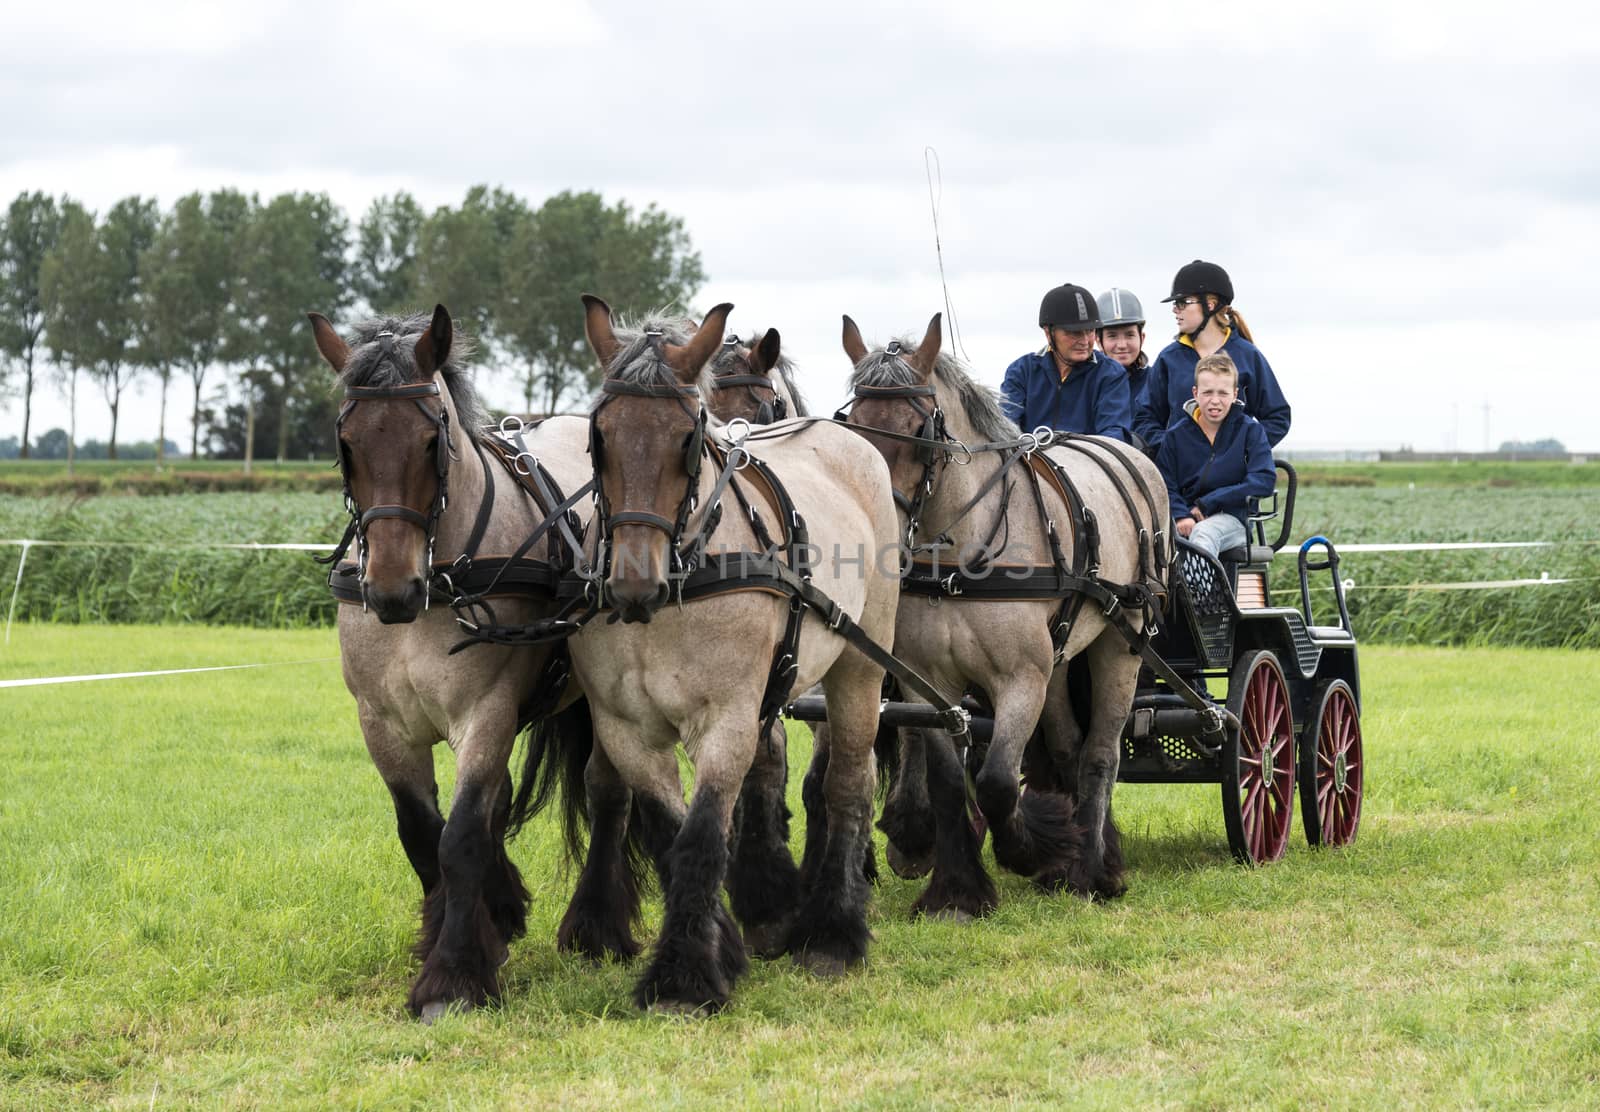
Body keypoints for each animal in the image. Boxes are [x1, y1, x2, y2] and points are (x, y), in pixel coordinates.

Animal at [572, 300, 902, 1011]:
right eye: (598, 437)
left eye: (688, 440)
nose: (632, 583)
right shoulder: (624, 727)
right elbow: (672, 834)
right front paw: (727, 939)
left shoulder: (725, 717)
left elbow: (701, 835)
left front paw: (683, 976)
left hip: (862, 664)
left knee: (848, 783)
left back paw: (833, 933)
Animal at [844, 310, 1171, 915]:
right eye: (853, 425)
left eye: (919, 428)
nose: (880, 536)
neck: (961, 559)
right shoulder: (928, 685)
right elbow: (951, 783)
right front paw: (957, 893)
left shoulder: (1021, 679)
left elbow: (996, 780)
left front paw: (1031, 848)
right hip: (1063, 655)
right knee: (1068, 747)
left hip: (1122, 642)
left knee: (1101, 753)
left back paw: (1093, 870)